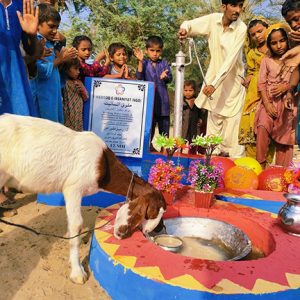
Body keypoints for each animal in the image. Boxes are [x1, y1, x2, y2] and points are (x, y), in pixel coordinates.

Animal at [0, 114, 166, 284]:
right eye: (152, 213)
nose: (154, 230)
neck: (103, 165)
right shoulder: (73, 188)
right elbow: (77, 224)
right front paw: (77, 271)